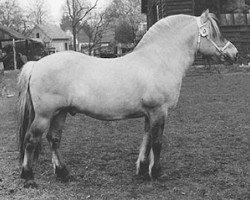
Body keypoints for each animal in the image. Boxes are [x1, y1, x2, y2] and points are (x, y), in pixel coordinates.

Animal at [18, 9, 238, 188]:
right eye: (213, 34)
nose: (234, 53)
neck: (158, 61)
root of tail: (36, 64)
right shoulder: (159, 111)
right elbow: (157, 142)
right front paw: (156, 173)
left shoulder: (150, 114)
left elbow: (147, 139)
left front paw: (142, 170)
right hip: (44, 116)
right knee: (31, 139)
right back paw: (28, 176)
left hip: (60, 113)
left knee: (53, 139)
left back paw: (63, 173)